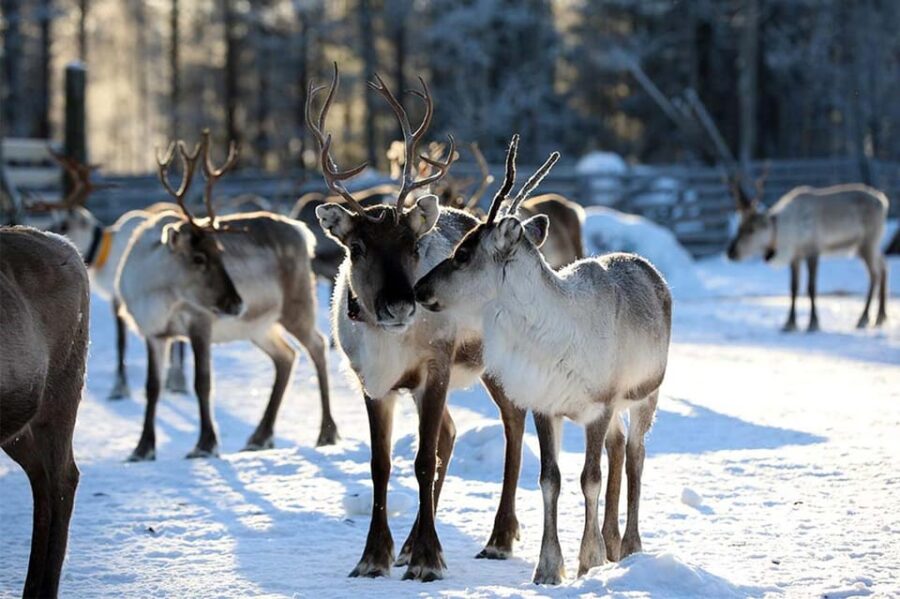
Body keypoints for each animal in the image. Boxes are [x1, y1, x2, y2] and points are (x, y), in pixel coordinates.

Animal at [116, 130, 336, 461]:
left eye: (221, 251)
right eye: (198, 258)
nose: (236, 303)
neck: (157, 294)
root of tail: (303, 232)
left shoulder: (200, 322)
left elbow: (203, 382)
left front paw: (205, 444)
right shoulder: (153, 333)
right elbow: (152, 387)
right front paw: (142, 448)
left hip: (297, 305)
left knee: (318, 347)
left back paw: (326, 433)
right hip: (259, 326)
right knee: (286, 356)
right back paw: (259, 437)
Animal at [307, 64, 528, 581]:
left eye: (412, 245)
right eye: (357, 248)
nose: (400, 305)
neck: (392, 343)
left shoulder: (436, 367)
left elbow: (424, 460)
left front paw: (429, 558)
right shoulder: (374, 383)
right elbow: (381, 464)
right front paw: (375, 555)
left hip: (495, 362)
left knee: (512, 422)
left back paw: (499, 537)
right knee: (451, 432)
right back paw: (409, 545)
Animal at [414, 134, 672, 585]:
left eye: (463, 253)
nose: (418, 288)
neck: (551, 337)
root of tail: (650, 271)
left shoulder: (599, 404)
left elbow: (590, 479)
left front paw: (588, 560)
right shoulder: (544, 406)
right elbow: (549, 479)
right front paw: (549, 568)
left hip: (645, 395)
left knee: (636, 453)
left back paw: (630, 545)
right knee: (619, 447)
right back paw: (613, 542)